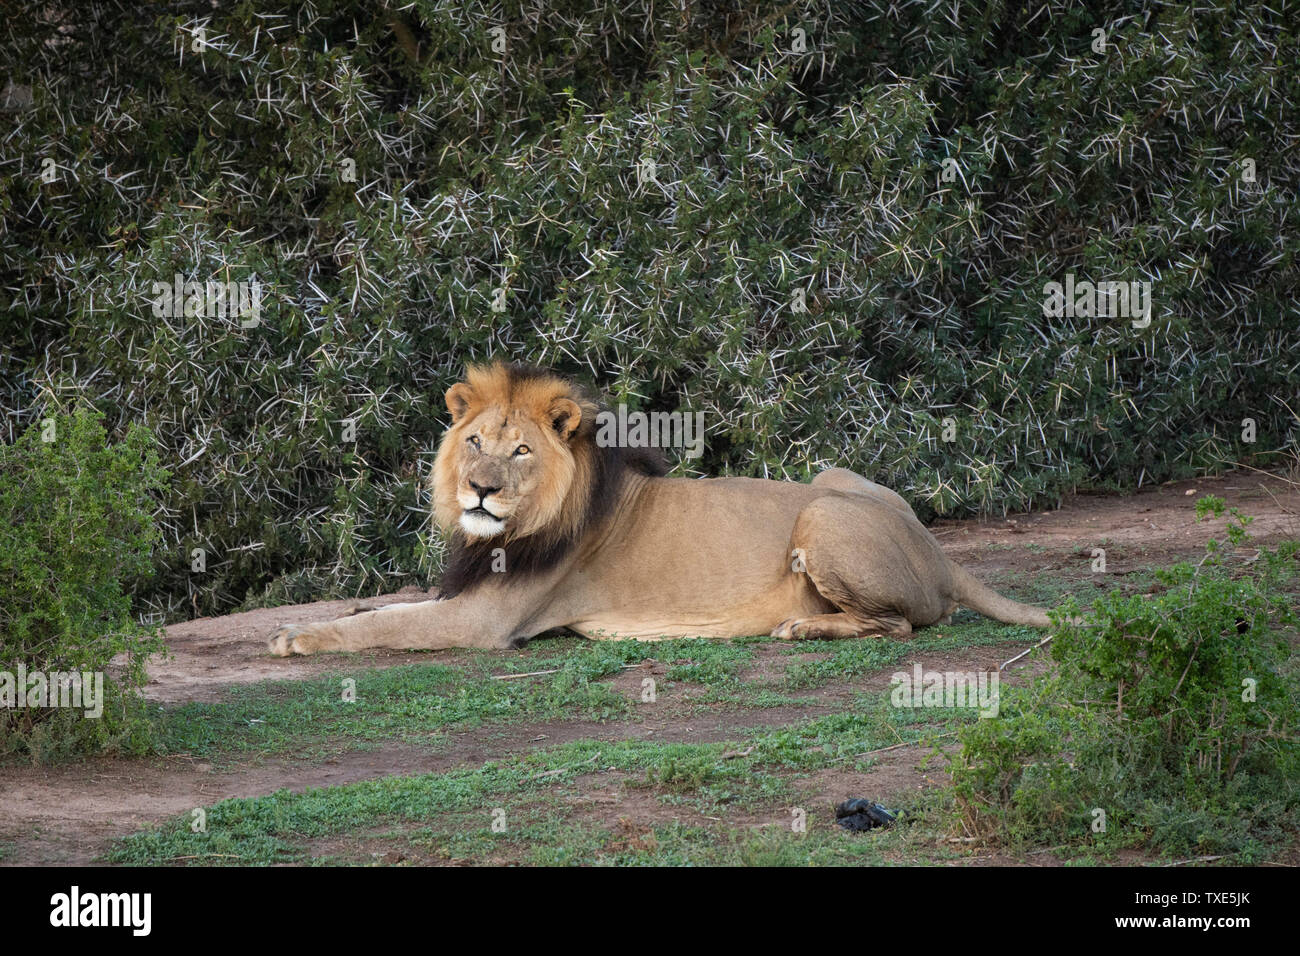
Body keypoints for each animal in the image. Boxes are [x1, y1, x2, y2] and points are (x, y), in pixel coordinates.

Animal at [269, 361, 1050, 658]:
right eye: (474, 442)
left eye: (519, 451)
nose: (480, 490)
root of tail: (939, 553)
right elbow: (378, 609)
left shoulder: (486, 621)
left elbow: (385, 624)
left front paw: (295, 638)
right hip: (833, 476)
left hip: (822, 517)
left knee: (898, 625)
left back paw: (803, 626)